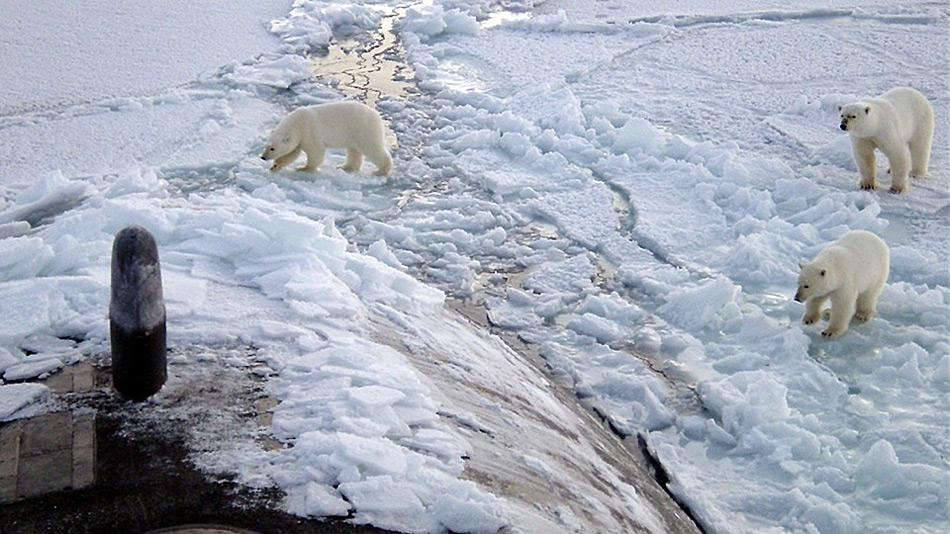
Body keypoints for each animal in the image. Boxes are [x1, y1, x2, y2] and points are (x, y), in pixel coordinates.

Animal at [260, 103, 390, 180]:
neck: (297, 123)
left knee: (372, 148)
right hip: (354, 134)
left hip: (363, 129)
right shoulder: (299, 137)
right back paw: (346, 167)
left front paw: (303, 168)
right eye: (266, 146)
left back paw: (380, 171)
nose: (263, 157)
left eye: (272, 148)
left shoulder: (309, 132)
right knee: (354, 150)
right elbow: (292, 153)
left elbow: (315, 152)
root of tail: (378, 116)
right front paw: (275, 166)